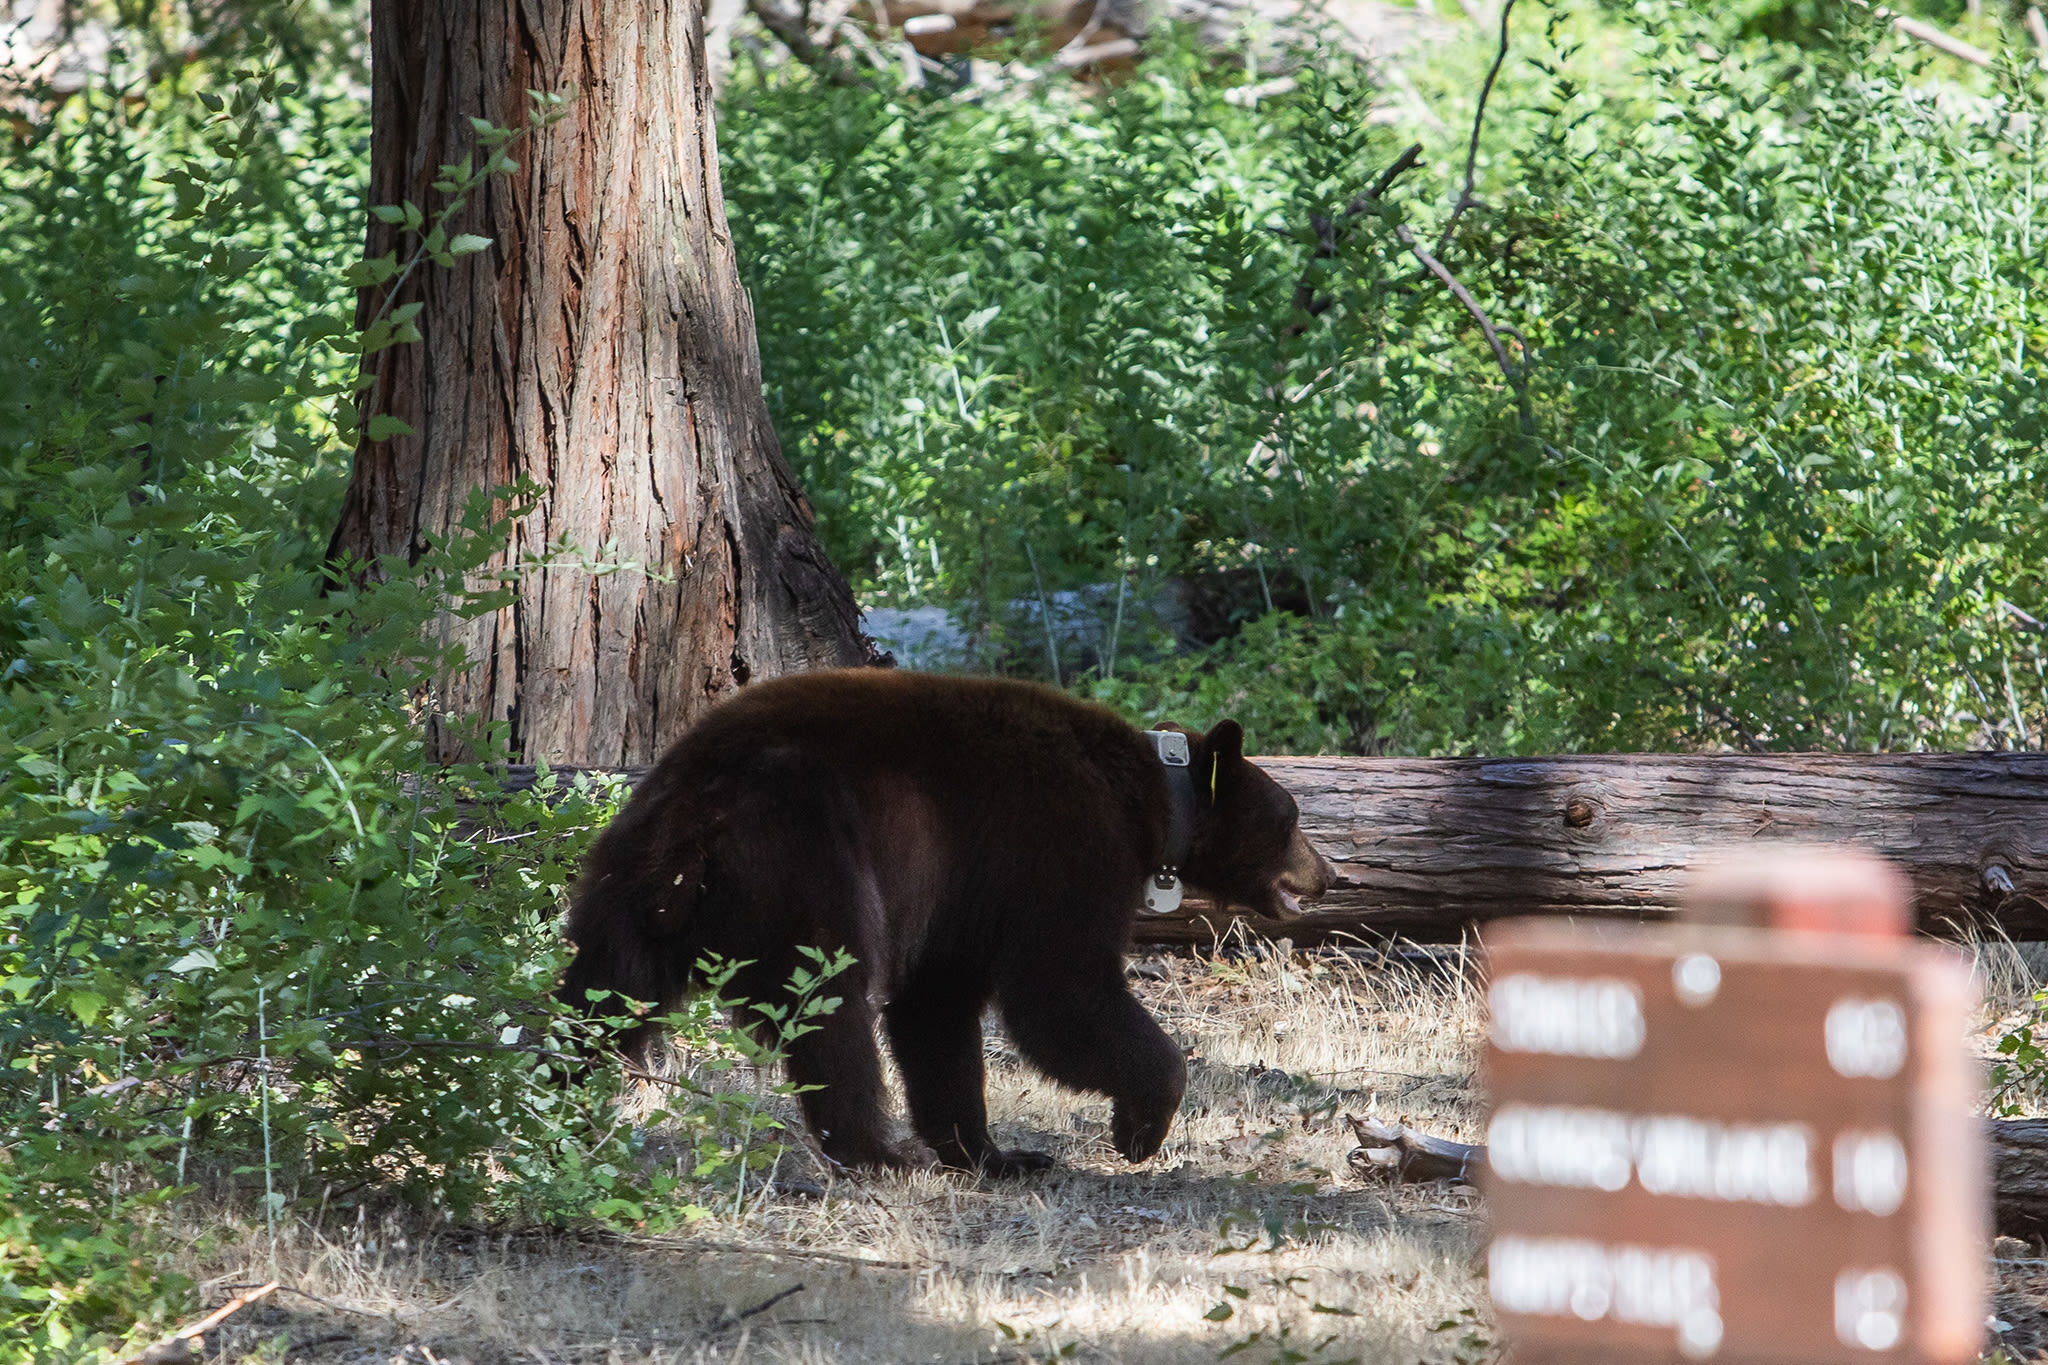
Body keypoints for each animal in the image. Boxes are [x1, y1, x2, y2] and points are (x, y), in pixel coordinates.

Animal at [557, 671, 1327, 1178]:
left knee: (599, 1000)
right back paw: (880, 1150)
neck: (1152, 804)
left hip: (624, 890)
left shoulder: (964, 892)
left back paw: (558, 1107)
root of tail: (694, 813)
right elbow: (1060, 992)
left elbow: (939, 1010)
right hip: (805, 857)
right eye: (1292, 818)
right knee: (831, 1002)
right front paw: (1139, 1125)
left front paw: (995, 1152)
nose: (1327, 875)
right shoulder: (1058, 848)